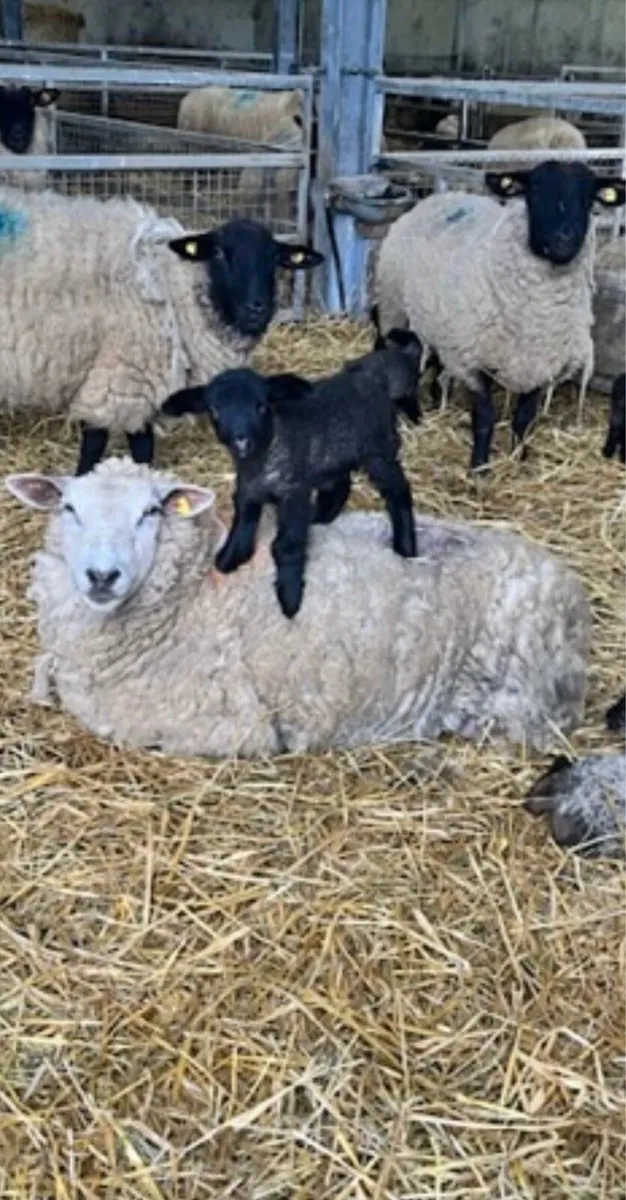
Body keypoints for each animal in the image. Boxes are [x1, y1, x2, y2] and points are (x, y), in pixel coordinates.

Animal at [0, 187, 324, 474]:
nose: (257, 308)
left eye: (275, 258)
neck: (173, 283)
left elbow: (142, 445)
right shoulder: (122, 376)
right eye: (220, 253)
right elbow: (98, 442)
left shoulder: (138, 380)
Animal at [5, 457, 590, 759]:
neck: (191, 594)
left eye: (151, 512)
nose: (102, 576)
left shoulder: (230, 727)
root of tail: (571, 590)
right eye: (69, 508)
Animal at [160, 337, 421, 617]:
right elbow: (242, 525)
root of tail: (372, 374)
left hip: (378, 450)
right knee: (340, 484)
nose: (241, 441)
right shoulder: (247, 490)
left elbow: (287, 546)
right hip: (333, 454)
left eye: (262, 406)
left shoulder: (294, 493)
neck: (264, 455)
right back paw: (321, 518)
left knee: (398, 491)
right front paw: (229, 559)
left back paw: (406, 547)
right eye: (215, 410)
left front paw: (290, 597)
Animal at [376, 161, 626, 469]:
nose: (564, 239)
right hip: (393, 306)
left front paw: (519, 458)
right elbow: (485, 418)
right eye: (534, 192)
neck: (537, 314)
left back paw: (435, 402)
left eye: (589, 199)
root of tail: (442, 196)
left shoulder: (540, 364)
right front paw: (480, 467)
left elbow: (524, 420)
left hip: (438, 324)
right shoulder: (470, 360)